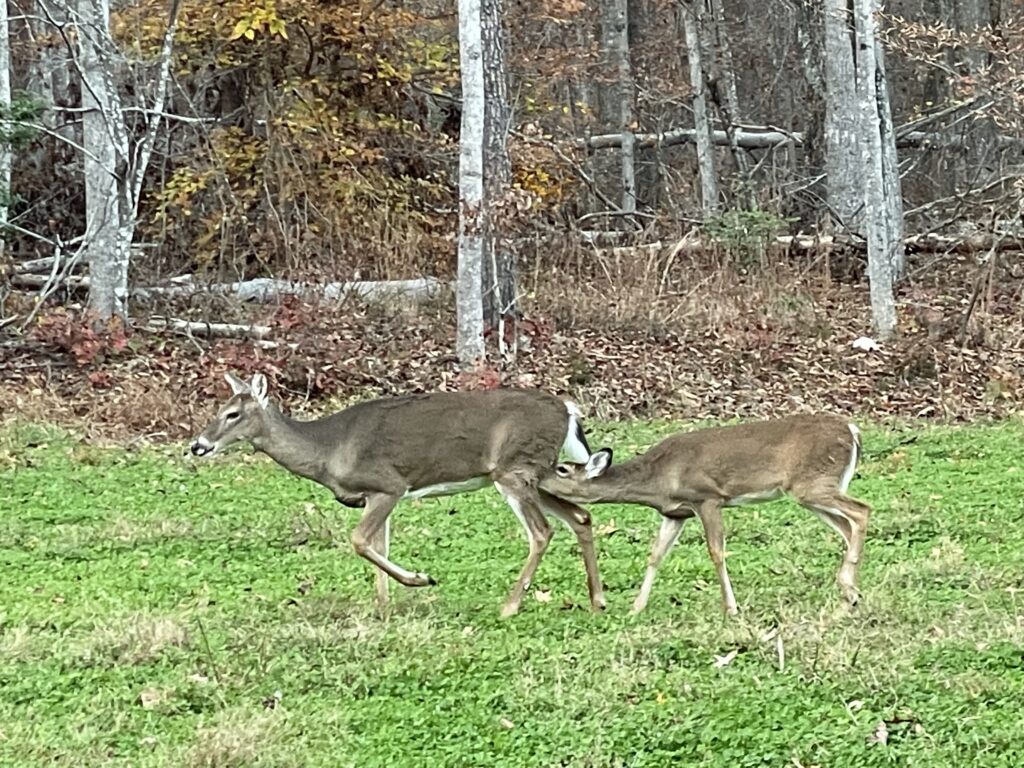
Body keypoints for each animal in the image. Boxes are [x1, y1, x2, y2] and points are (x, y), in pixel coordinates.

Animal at [190, 372, 606, 618]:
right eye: (219, 409)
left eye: (232, 414)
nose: (198, 445)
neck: (327, 450)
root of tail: (568, 409)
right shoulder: (378, 496)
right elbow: (379, 546)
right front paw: (384, 607)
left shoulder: (388, 485)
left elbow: (359, 540)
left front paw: (421, 579)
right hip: (533, 472)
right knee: (580, 516)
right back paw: (597, 599)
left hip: (515, 469)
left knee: (542, 531)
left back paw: (510, 605)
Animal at [536, 411, 872, 618]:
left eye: (562, 469)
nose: (537, 478)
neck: (659, 479)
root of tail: (853, 431)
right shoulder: (676, 513)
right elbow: (655, 555)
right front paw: (636, 607)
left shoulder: (708, 498)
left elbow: (716, 552)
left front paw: (731, 608)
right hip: (813, 491)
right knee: (848, 526)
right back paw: (849, 595)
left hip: (812, 484)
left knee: (862, 511)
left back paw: (849, 588)